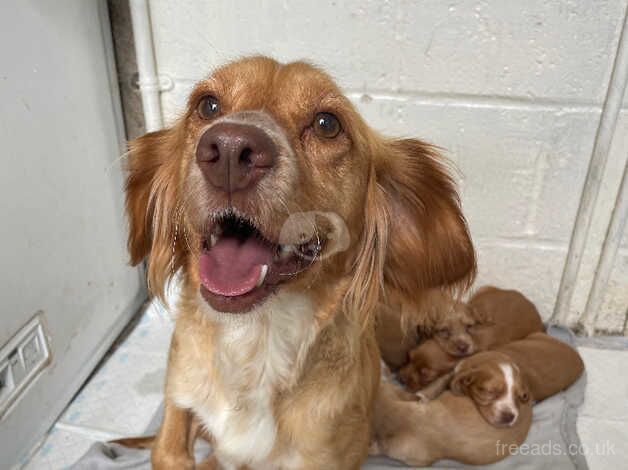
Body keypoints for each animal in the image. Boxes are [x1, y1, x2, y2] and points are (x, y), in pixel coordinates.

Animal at [124, 56, 476, 470]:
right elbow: (172, 445)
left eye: (327, 124)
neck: (255, 341)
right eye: (207, 105)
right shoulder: (177, 415)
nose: (229, 148)